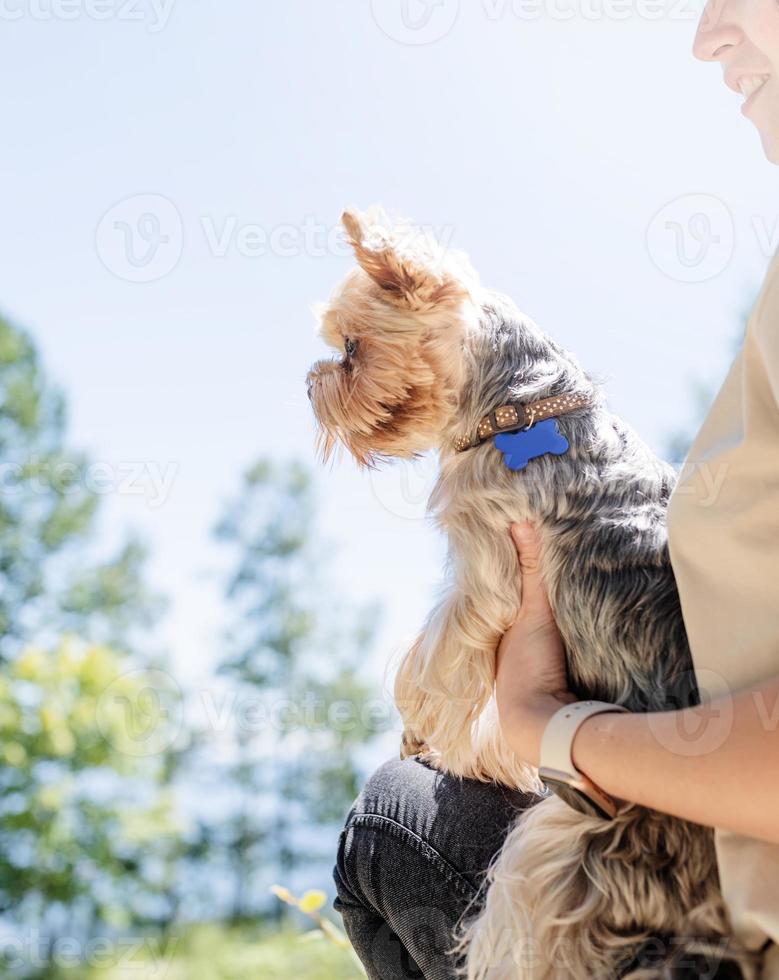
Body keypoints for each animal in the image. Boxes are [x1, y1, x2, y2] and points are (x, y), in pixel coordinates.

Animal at [306, 211, 760, 980]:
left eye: (352, 348)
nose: (309, 386)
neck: (519, 408)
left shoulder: (487, 570)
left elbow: (435, 663)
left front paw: (425, 736)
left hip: (562, 848)